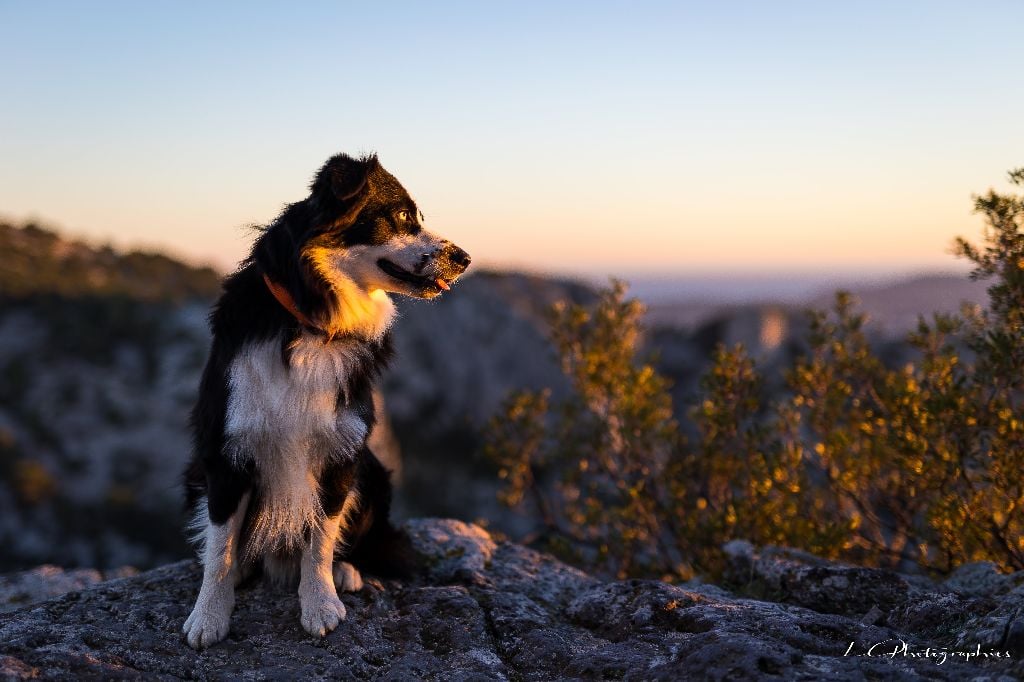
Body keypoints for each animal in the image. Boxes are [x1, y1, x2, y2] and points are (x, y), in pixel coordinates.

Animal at [182, 151, 468, 647]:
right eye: (401, 216)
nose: (465, 259)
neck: (313, 320)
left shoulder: (341, 449)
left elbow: (320, 538)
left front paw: (320, 604)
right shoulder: (224, 451)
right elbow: (220, 546)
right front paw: (209, 615)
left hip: (374, 474)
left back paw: (346, 571)